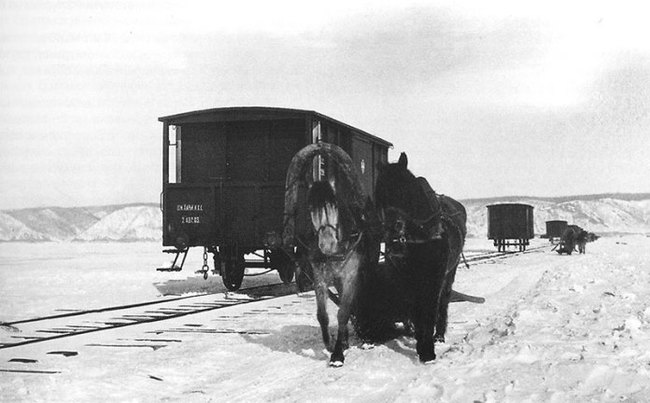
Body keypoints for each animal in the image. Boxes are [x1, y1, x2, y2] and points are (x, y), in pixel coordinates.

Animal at [364, 153, 466, 364]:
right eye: (379, 194)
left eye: (404, 190)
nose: (393, 230)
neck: (420, 234)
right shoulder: (407, 278)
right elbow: (415, 310)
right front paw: (420, 342)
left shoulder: (434, 277)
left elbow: (429, 309)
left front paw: (428, 350)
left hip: (449, 273)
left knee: (443, 301)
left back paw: (439, 334)